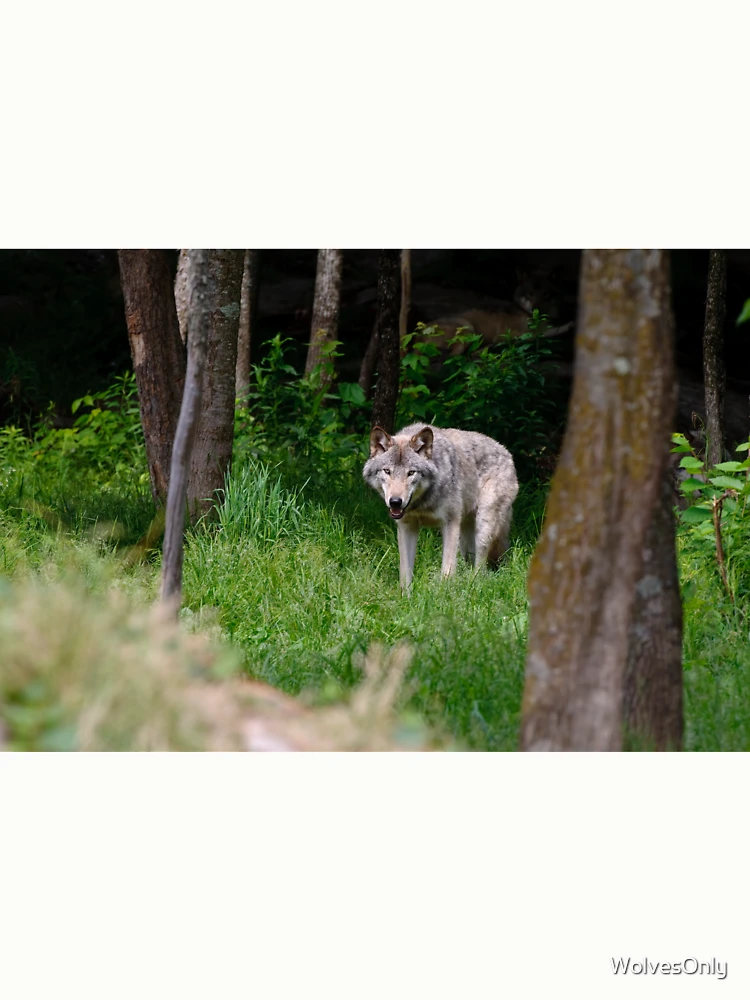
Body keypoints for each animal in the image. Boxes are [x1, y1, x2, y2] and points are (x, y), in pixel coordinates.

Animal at [362, 423, 519, 589]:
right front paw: (406, 594)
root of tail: (507, 453)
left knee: (481, 568)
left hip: (482, 530)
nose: (395, 501)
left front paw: (443, 592)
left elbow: (447, 569)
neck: (421, 503)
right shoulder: (406, 527)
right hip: (465, 540)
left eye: (411, 473)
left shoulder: (450, 523)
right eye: (387, 471)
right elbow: (405, 573)